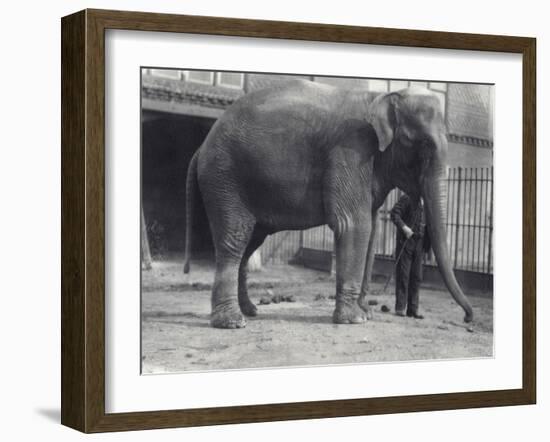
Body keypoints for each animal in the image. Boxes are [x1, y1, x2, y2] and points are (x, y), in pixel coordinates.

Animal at [184, 79, 474, 328]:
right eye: (424, 145)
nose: (468, 318)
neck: (380, 97)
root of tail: (201, 147)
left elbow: (371, 231)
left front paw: (366, 313)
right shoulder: (351, 149)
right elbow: (353, 225)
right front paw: (354, 319)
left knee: (250, 242)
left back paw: (251, 311)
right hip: (225, 177)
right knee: (235, 238)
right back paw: (232, 322)